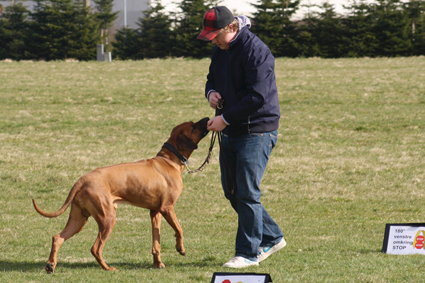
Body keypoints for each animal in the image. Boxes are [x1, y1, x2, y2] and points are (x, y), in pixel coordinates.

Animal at [34, 117, 210, 272]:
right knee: (95, 248)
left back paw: (51, 265)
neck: (169, 159)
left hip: (78, 219)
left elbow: (156, 241)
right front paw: (180, 248)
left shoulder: (155, 212)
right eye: (193, 127)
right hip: (108, 218)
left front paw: (157, 263)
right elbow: (179, 229)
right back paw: (107, 268)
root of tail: (82, 180)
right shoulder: (167, 208)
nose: (208, 118)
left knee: (57, 238)